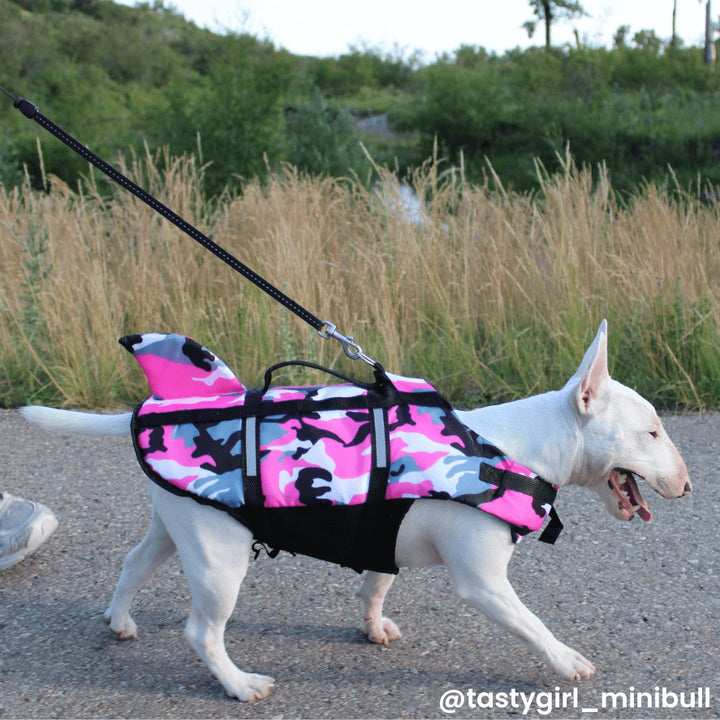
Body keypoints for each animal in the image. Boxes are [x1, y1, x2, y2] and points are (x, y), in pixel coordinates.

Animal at [19, 318, 688, 700]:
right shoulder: (483, 583)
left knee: (134, 562)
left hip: (178, 524)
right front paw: (566, 660)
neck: (514, 447)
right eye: (652, 433)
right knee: (201, 631)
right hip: (219, 560)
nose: (687, 485)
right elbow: (531, 624)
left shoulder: (383, 540)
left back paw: (119, 620)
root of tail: (151, 413)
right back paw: (239, 685)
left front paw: (372, 626)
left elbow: (375, 585)